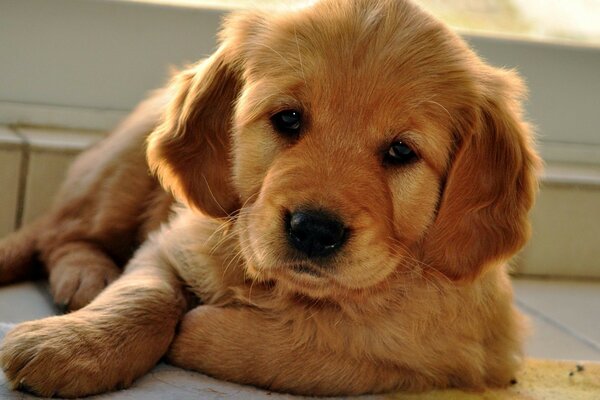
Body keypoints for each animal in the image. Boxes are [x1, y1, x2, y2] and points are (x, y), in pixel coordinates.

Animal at [0, 0, 540, 396]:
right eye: (288, 119)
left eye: (401, 150)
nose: (314, 230)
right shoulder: (172, 242)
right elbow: (143, 295)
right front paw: (72, 347)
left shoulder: (449, 351)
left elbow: (317, 347)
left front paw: (199, 330)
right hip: (124, 167)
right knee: (60, 232)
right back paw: (85, 276)